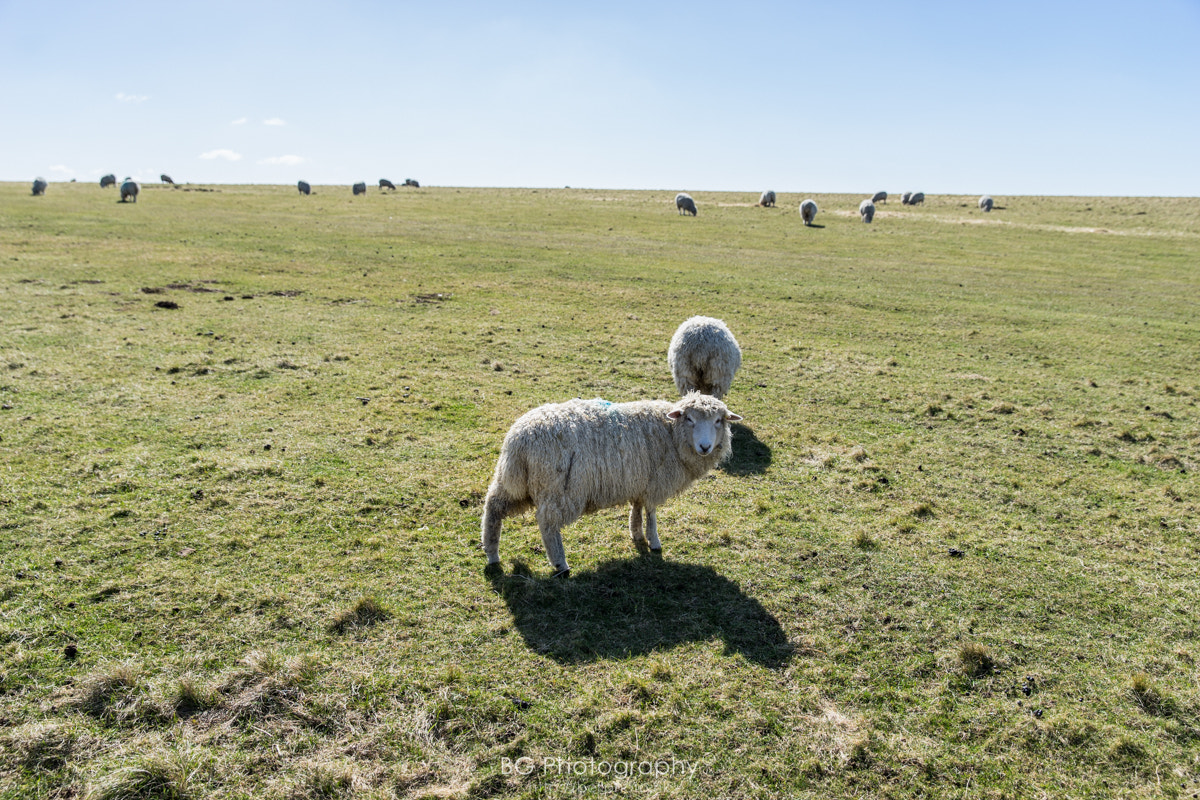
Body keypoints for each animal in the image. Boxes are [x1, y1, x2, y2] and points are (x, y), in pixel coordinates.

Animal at [477, 388, 739, 573]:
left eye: (718, 420)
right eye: (690, 419)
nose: (704, 447)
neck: (671, 432)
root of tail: (519, 438)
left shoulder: (638, 481)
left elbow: (637, 508)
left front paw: (636, 533)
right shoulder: (654, 482)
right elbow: (652, 513)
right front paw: (654, 541)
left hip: (514, 482)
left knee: (493, 507)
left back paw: (491, 553)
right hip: (554, 488)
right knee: (548, 525)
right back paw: (560, 563)